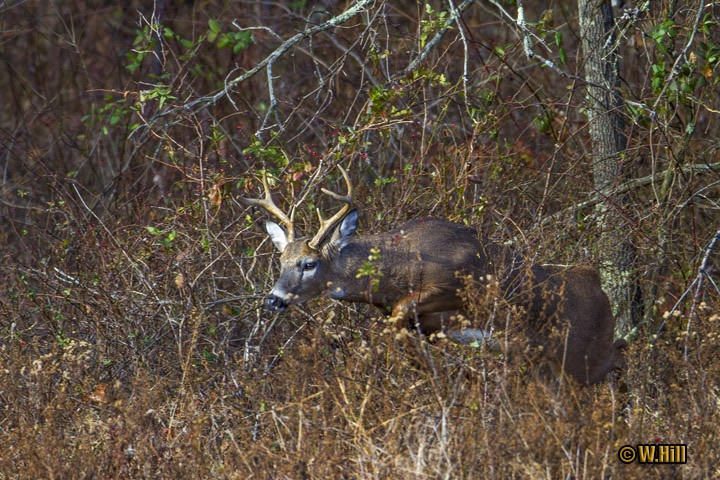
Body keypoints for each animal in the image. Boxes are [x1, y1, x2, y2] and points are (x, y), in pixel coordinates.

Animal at [242, 167, 624, 384]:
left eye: (309, 263)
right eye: (281, 259)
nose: (274, 299)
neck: (402, 265)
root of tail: (599, 288)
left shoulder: (459, 283)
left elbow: (399, 313)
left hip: (581, 357)